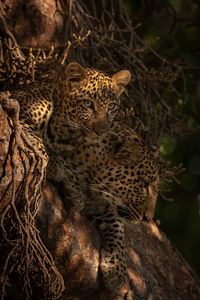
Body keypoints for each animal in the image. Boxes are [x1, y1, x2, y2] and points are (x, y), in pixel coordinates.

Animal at [10, 61, 131, 211]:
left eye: (111, 106)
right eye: (87, 103)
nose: (101, 131)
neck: (65, 131)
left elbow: (67, 164)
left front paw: (75, 190)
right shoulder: (17, 105)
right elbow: (38, 142)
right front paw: (51, 163)